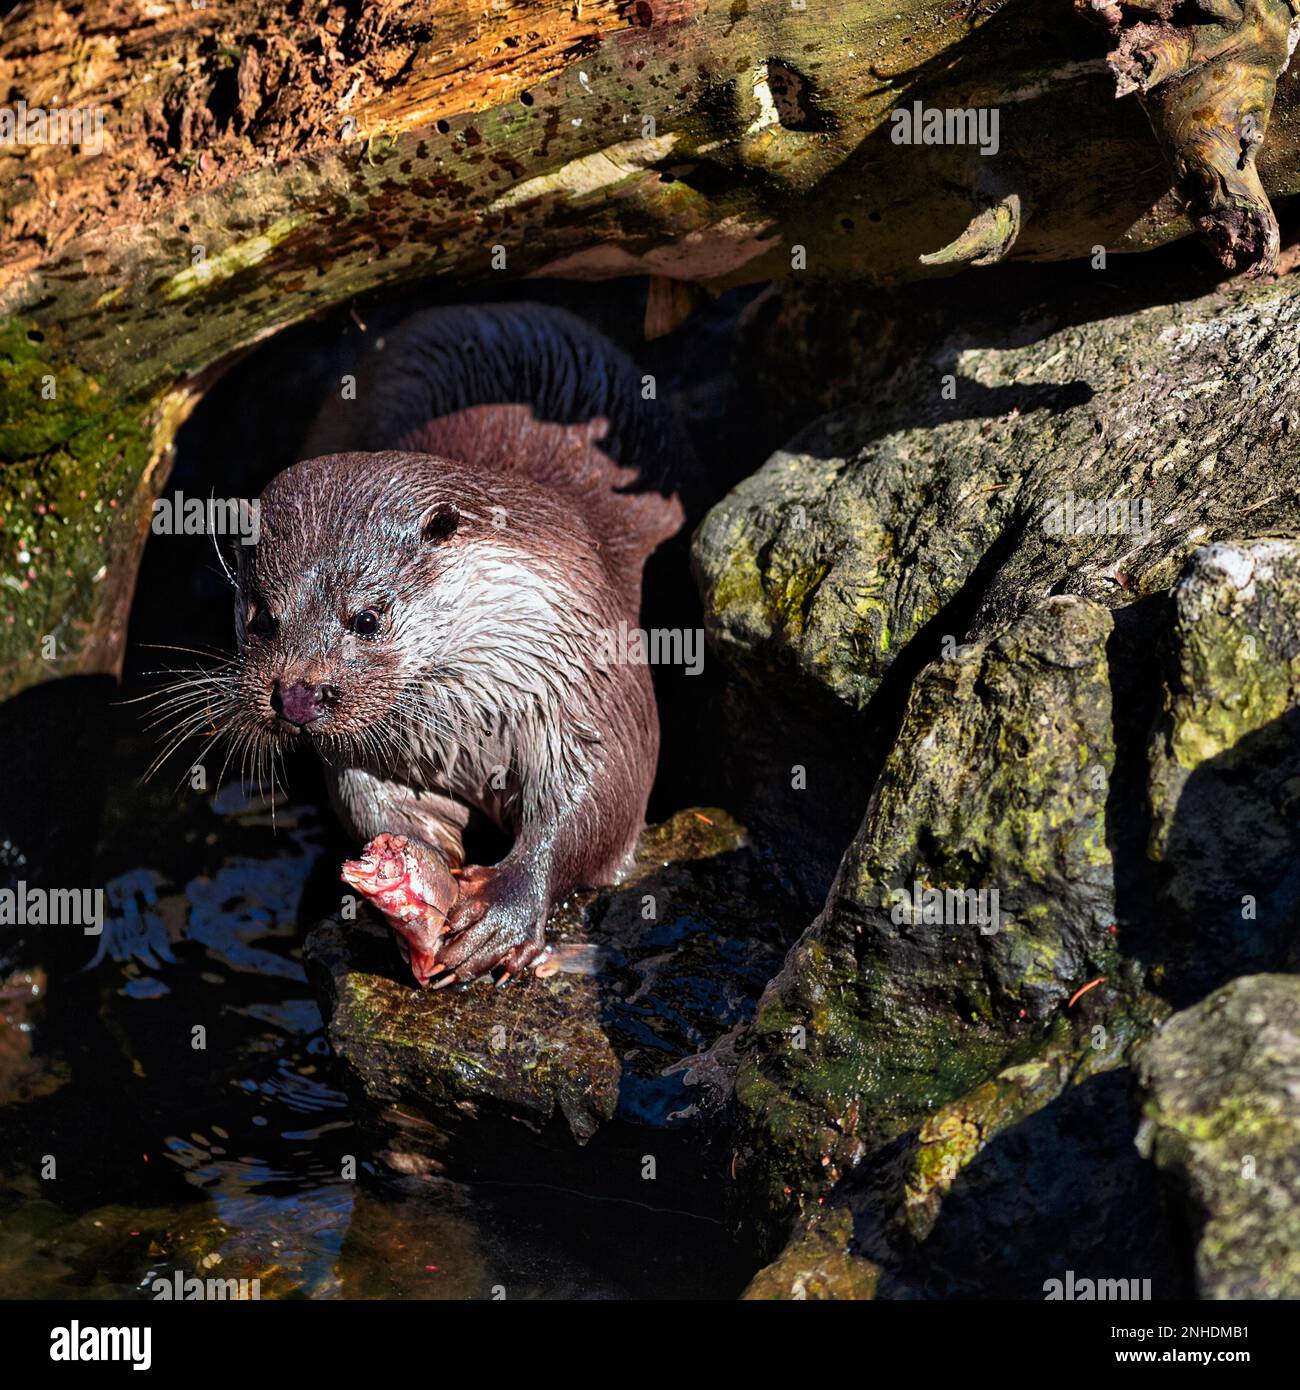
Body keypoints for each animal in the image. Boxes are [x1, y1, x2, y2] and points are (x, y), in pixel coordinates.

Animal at [229, 304, 695, 989]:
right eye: (262, 617)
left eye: (367, 617)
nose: (296, 695)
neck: (473, 729)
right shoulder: (373, 755)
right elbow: (370, 802)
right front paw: (412, 872)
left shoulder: (589, 675)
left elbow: (602, 795)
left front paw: (502, 911)